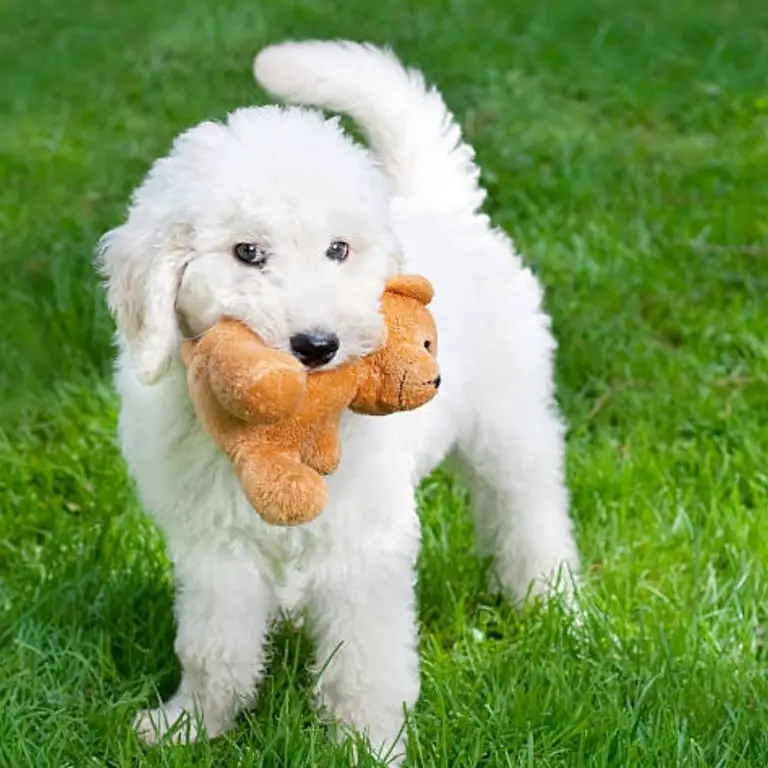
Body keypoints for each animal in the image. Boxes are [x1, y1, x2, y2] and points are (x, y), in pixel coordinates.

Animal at [97, 40, 576, 760]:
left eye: (338, 250)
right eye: (247, 252)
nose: (318, 346)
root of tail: (439, 204)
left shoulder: (364, 545)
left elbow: (363, 663)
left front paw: (369, 747)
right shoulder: (215, 547)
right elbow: (212, 648)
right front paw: (190, 724)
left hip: (508, 422)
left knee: (529, 509)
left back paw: (552, 600)